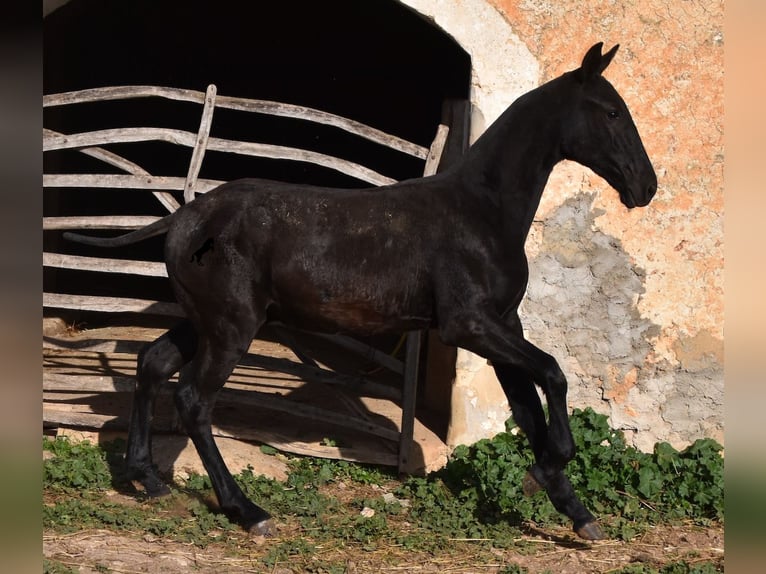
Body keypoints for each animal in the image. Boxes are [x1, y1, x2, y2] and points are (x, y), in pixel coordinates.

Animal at [63, 44, 656, 540]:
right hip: (230, 329)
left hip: (203, 322)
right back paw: (248, 510)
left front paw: (575, 511)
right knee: (192, 400)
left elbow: (531, 410)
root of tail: (185, 217)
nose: (645, 187)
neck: (483, 213)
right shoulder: (470, 325)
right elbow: (554, 375)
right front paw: (550, 471)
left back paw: (147, 478)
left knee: (152, 364)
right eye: (611, 112)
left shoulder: (504, 325)